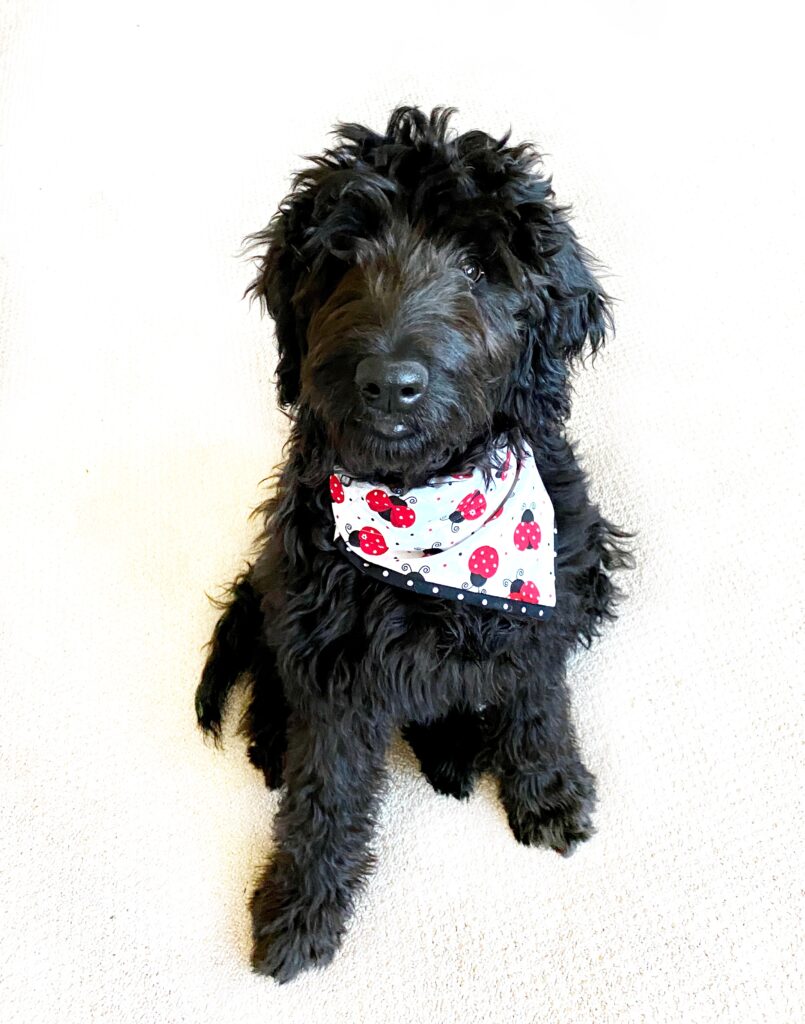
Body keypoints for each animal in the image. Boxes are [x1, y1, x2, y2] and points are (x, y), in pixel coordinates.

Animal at [194, 105, 626, 983]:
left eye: (477, 263)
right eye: (345, 256)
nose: (389, 382)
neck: (426, 522)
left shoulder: (541, 606)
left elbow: (538, 705)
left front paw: (548, 791)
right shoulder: (330, 656)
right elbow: (324, 792)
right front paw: (299, 907)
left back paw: (457, 748)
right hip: (277, 586)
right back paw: (275, 739)